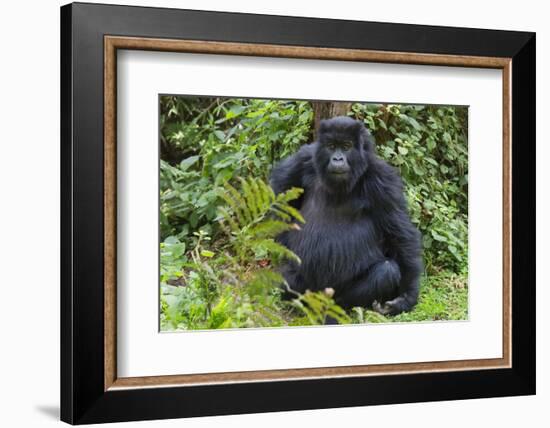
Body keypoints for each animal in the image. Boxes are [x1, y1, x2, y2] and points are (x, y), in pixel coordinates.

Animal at [270, 115, 422, 316]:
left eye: (347, 146)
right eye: (332, 146)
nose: (337, 158)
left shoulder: (384, 178)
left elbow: (401, 234)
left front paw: (406, 297)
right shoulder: (303, 158)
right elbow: (279, 192)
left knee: (386, 271)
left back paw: (339, 307)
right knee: (285, 278)